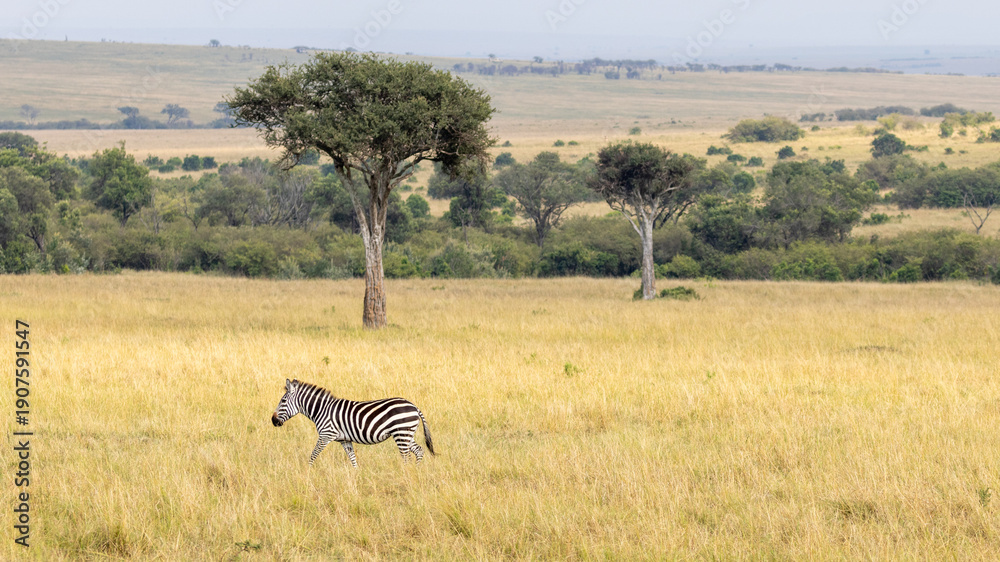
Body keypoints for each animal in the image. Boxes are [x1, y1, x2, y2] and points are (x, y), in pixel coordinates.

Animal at [270, 379, 435, 467]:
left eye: (283, 401)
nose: (273, 421)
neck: (322, 409)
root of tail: (414, 406)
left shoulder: (325, 435)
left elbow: (313, 455)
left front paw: (308, 472)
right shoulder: (345, 439)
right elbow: (353, 459)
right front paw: (357, 477)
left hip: (401, 433)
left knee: (406, 457)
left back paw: (406, 474)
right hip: (406, 434)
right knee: (419, 450)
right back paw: (415, 472)